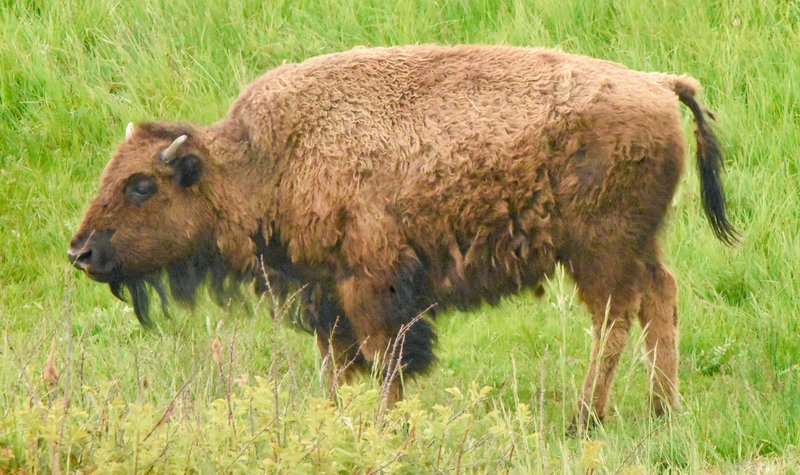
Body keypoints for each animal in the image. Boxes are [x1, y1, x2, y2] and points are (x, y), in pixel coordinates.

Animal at [70, 45, 736, 428]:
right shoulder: (322, 294)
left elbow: (386, 361)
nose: (80, 252)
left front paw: (386, 425)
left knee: (613, 319)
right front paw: (333, 420)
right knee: (660, 299)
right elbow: (337, 366)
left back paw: (584, 419)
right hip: (637, 245)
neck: (264, 160)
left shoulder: (374, 289)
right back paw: (662, 409)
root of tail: (657, 83)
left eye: (140, 185)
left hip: (599, 249)